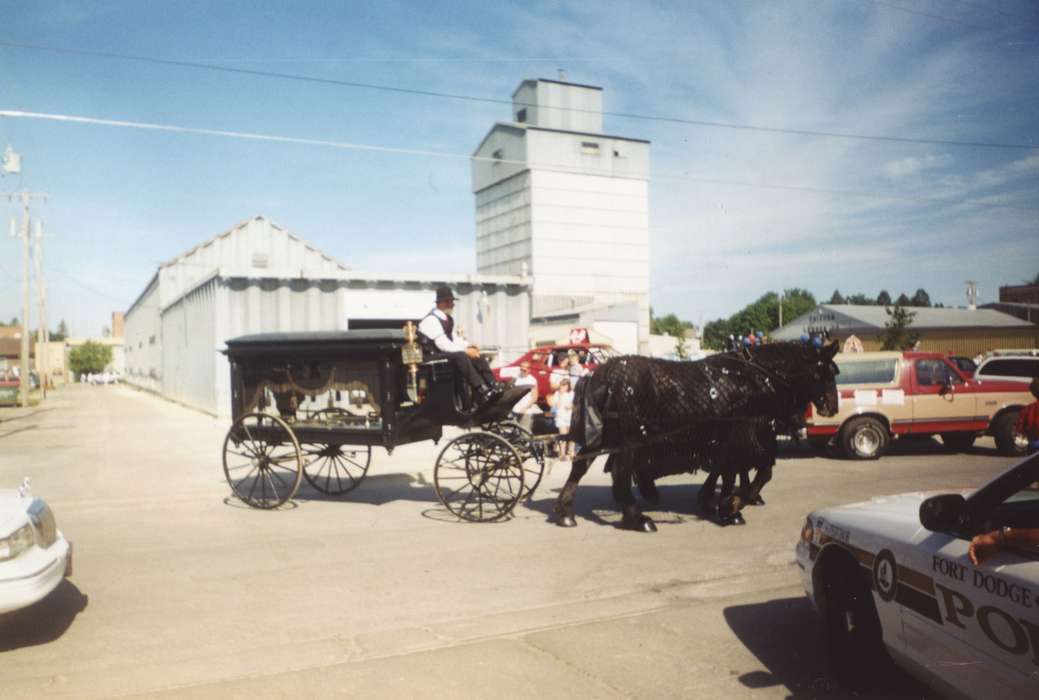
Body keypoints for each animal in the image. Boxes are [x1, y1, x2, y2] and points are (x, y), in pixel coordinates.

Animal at [556, 342, 839, 529]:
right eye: (825, 372)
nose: (832, 407)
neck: (756, 379)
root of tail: (598, 375)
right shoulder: (742, 436)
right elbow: (752, 472)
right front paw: (731, 506)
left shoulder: (726, 439)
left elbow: (732, 472)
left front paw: (720, 503)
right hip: (629, 437)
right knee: (620, 472)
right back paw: (636, 517)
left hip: (608, 435)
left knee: (581, 464)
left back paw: (565, 512)